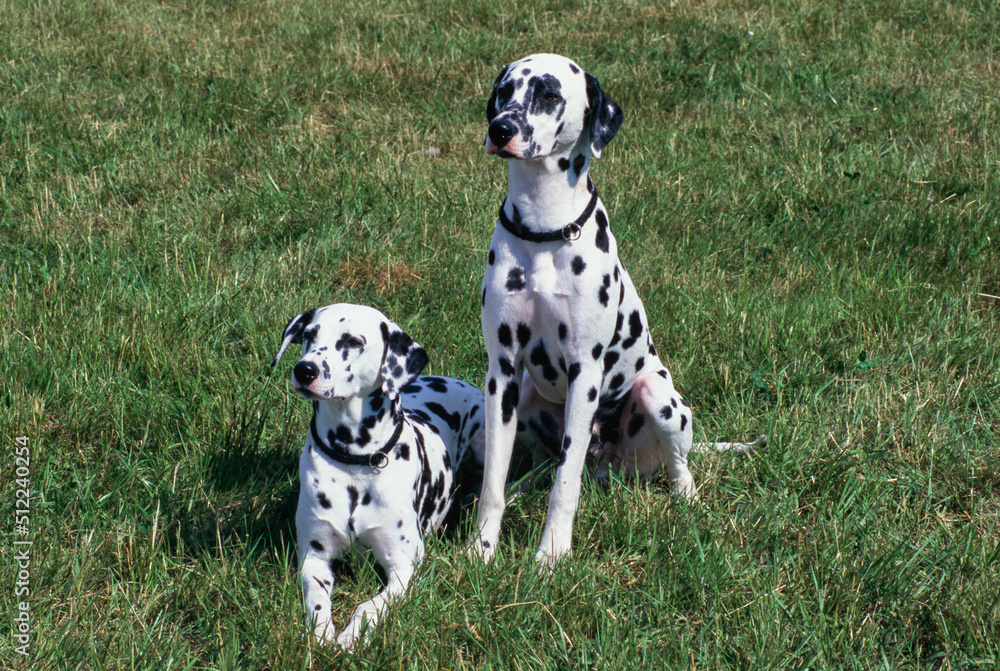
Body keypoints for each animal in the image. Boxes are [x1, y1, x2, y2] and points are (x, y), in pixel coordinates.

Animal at [274, 306, 484, 652]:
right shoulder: (314, 558)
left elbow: (368, 605)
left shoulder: (404, 566)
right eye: (309, 334)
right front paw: (320, 634)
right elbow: (316, 598)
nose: (304, 370)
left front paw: (351, 637)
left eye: (353, 341)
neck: (354, 463)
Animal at [472, 53, 760, 568]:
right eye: (505, 90)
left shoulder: (584, 372)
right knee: (538, 465)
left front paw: (551, 554)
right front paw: (481, 550)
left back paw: (688, 499)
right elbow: (493, 485)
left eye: (549, 93)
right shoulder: (501, 373)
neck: (543, 231)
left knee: (676, 465)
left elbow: (565, 485)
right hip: (524, 399)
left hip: (659, 399)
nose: (501, 128)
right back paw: (525, 484)